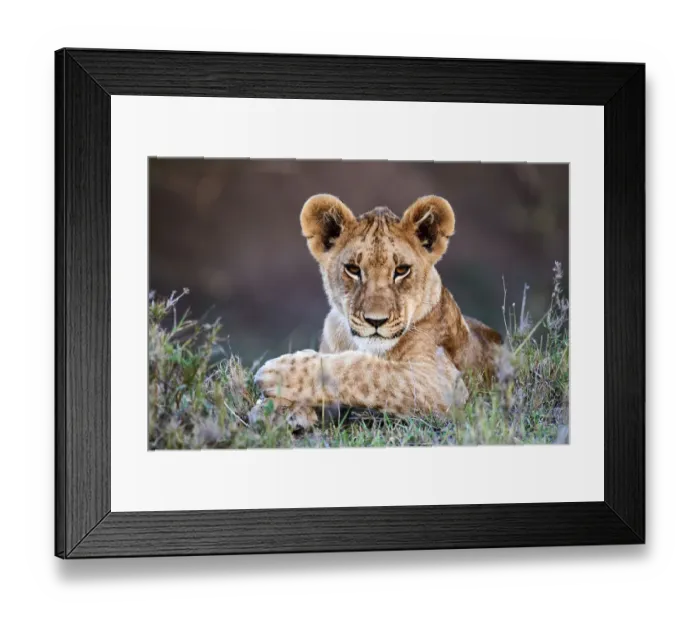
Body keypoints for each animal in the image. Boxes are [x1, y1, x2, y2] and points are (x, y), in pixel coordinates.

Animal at [250, 194, 503, 429]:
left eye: (401, 270)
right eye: (353, 269)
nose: (376, 321)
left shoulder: (445, 384)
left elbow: (367, 372)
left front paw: (276, 374)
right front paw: (275, 409)